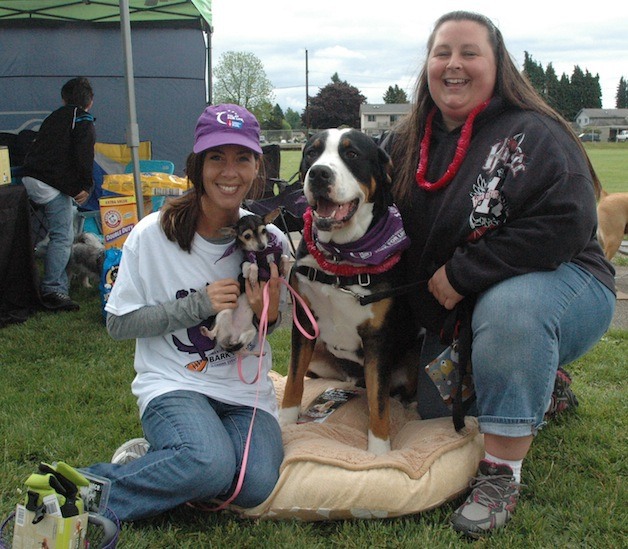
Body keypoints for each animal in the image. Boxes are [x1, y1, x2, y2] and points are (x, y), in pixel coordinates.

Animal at [280, 128, 422, 454]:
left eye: (352, 154)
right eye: (312, 152)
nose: (319, 173)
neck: (340, 260)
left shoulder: (377, 341)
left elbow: (379, 403)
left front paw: (380, 452)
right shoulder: (303, 322)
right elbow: (293, 380)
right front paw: (284, 422)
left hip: (409, 361)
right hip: (319, 359)